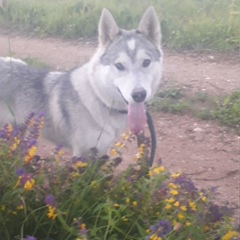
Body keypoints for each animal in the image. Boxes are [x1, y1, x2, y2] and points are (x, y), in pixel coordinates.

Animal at [0, 6, 163, 158]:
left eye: (146, 62)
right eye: (119, 65)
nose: (139, 95)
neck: (99, 98)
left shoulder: (102, 151)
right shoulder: (81, 155)